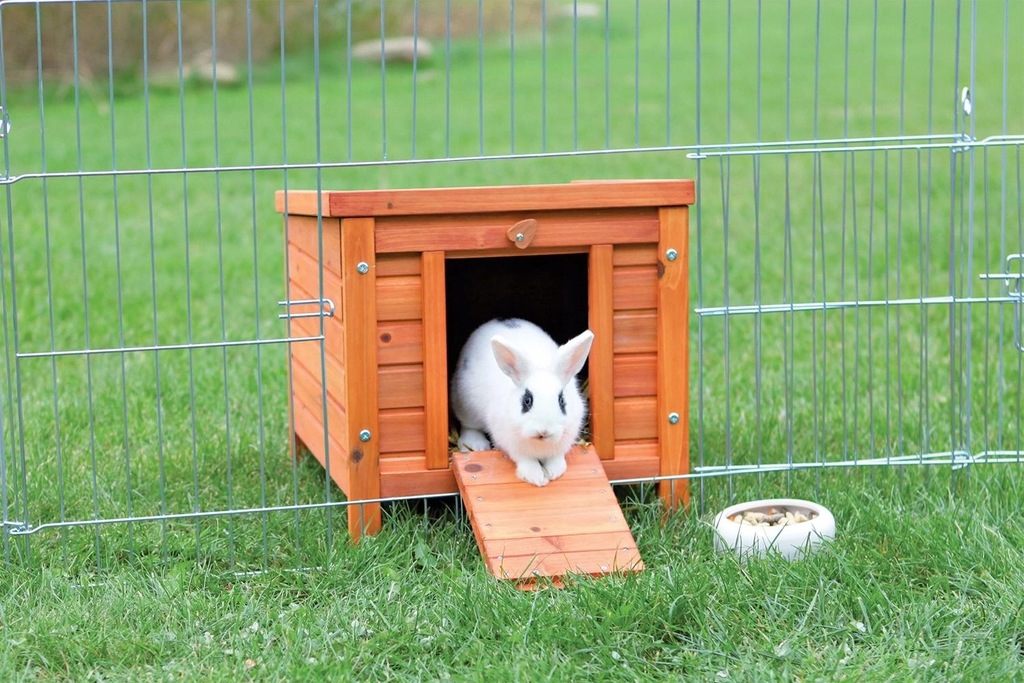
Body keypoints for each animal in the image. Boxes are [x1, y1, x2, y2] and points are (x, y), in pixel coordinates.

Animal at [448, 321, 593, 485]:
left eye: (561, 401)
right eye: (527, 400)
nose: (544, 431)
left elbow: (556, 458)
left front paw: (554, 472)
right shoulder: (512, 445)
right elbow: (526, 461)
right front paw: (536, 478)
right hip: (466, 405)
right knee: (469, 426)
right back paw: (476, 446)